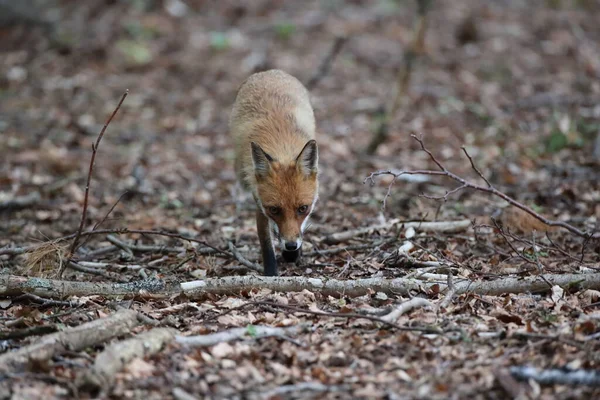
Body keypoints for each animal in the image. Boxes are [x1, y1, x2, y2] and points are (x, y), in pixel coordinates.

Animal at [231, 69, 318, 276]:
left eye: (303, 208)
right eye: (274, 210)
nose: (291, 246)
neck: (282, 147)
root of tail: (268, 72)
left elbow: (300, 227)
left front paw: (292, 255)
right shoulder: (259, 202)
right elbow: (265, 242)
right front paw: (271, 273)